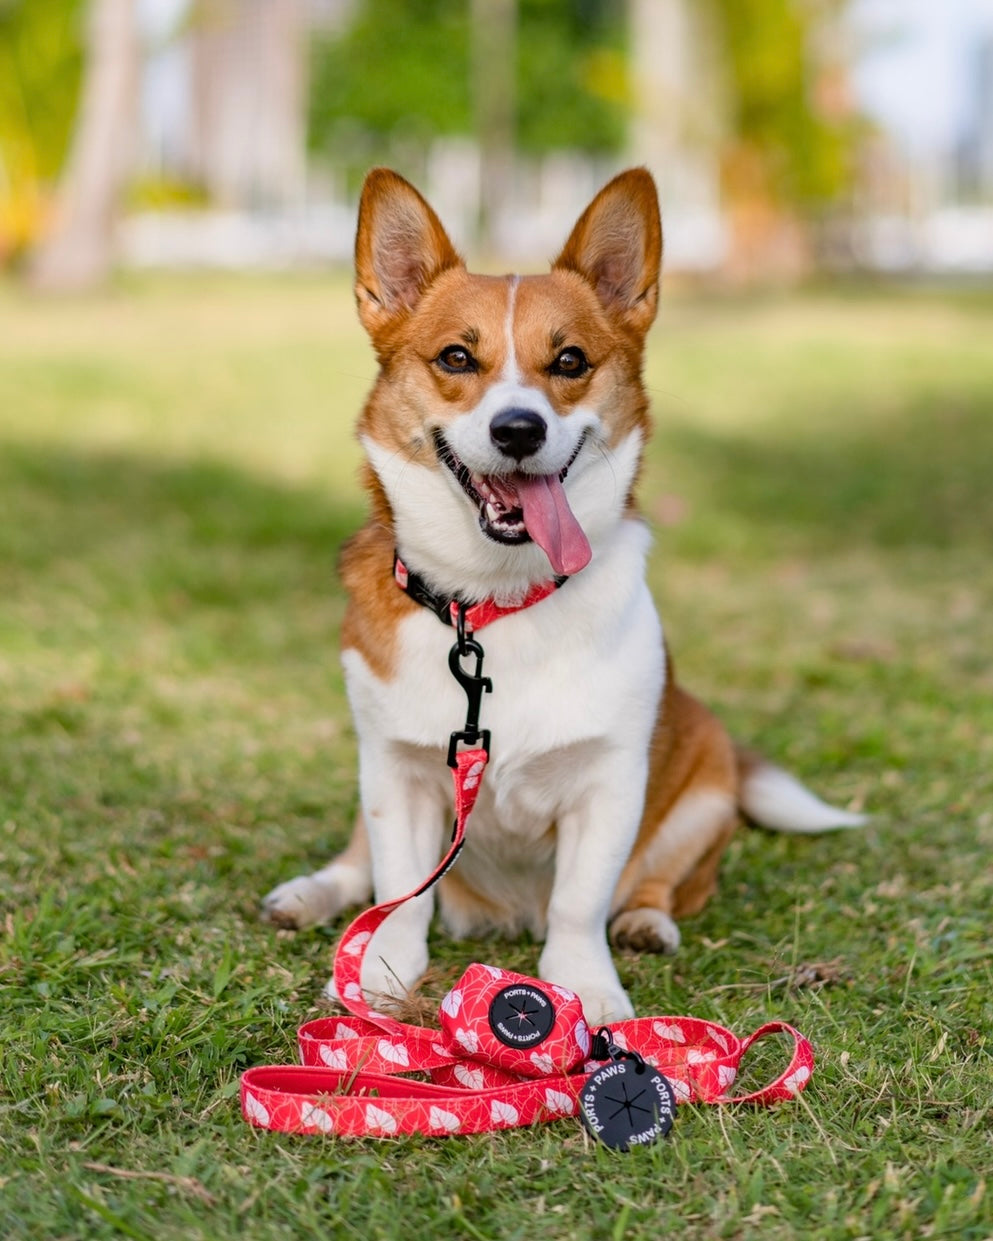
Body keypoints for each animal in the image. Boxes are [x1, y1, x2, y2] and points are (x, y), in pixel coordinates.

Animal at [263, 165, 858, 1022]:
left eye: (570, 360)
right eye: (456, 356)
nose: (518, 429)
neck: (494, 601)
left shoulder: (608, 783)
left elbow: (579, 902)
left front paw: (587, 989)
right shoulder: (395, 770)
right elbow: (400, 889)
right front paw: (380, 973)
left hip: (704, 796)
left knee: (658, 884)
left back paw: (645, 922)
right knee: (358, 863)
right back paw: (311, 894)